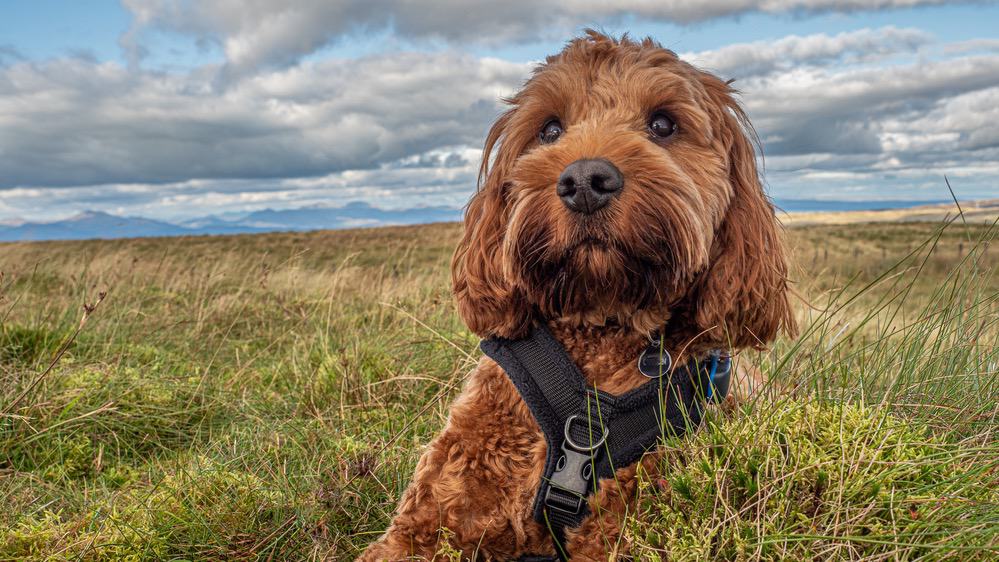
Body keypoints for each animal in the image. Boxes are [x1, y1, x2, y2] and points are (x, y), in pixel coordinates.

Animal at [356, 31, 792, 560]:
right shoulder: (426, 522)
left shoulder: (629, 524)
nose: (585, 181)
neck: (599, 324)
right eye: (550, 129)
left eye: (663, 124)